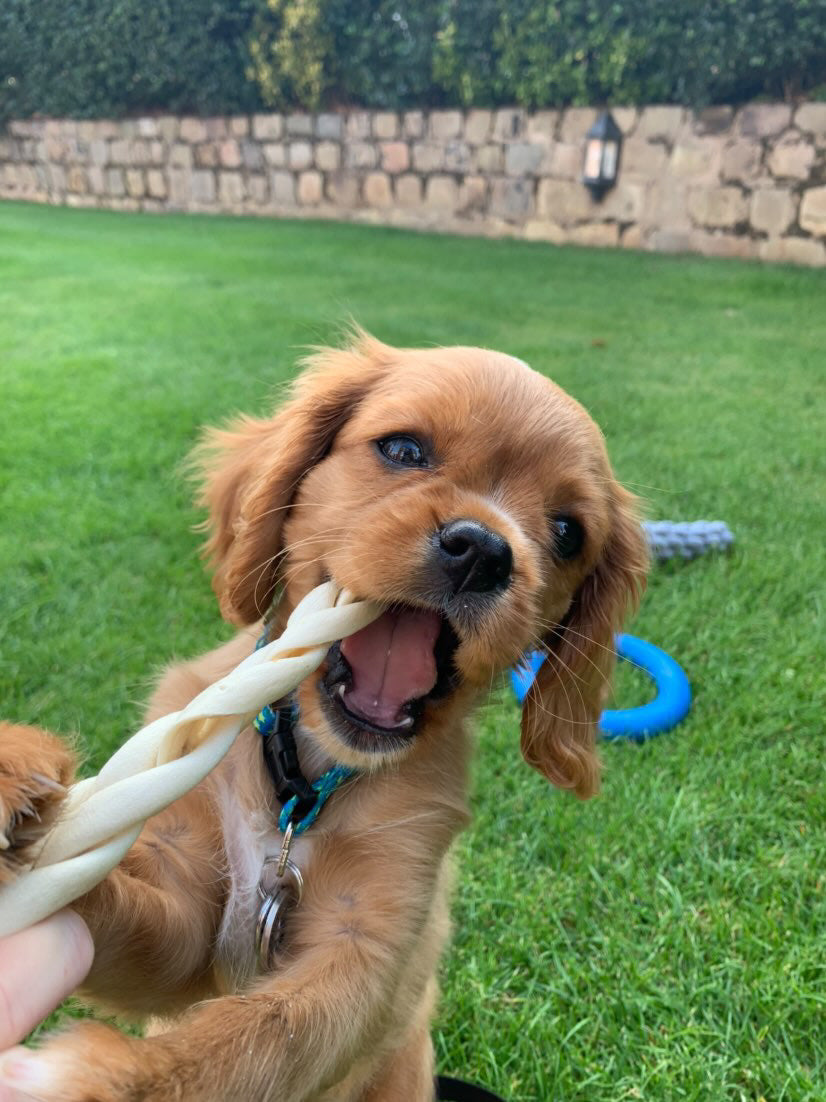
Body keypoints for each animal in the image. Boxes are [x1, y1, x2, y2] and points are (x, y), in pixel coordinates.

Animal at [0, 332, 647, 1102]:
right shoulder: (187, 907)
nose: (483, 551)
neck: (303, 782)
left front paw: (100, 1081)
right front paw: (13, 773)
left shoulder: (363, 952)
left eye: (568, 532)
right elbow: (110, 903)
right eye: (403, 449)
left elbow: (252, 1041)